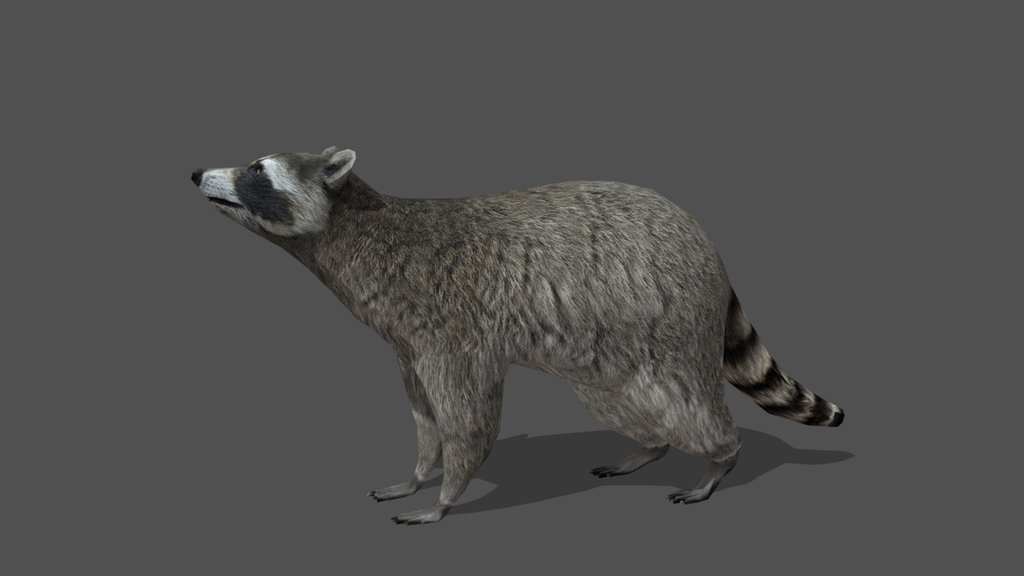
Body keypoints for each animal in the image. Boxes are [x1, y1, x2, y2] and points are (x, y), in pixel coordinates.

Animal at [191, 147, 844, 525]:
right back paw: (652, 445)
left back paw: (720, 458)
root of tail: (706, 243)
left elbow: (465, 413)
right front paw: (420, 471)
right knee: (627, 398)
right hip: (610, 345)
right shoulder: (406, 341)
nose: (196, 171)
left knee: (684, 395)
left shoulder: (449, 321)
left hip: (666, 313)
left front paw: (445, 495)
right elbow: (423, 413)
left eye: (257, 170)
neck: (353, 227)